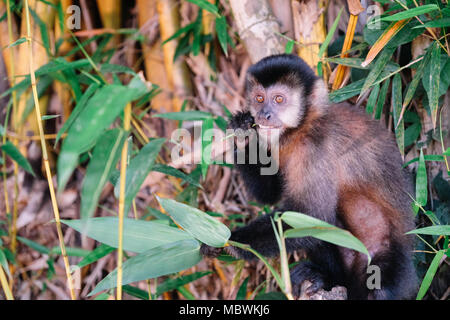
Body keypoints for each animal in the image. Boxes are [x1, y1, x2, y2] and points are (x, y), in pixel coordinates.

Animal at [200, 53, 418, 300]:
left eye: (278, 99)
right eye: (259, 98)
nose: (264, 115)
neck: (302, 127)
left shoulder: (315, 148)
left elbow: (311, 213)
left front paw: (227, 241)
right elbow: (273, 197)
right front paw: (243, 134)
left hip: (392, 269)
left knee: (380, 287)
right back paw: (327, 278)